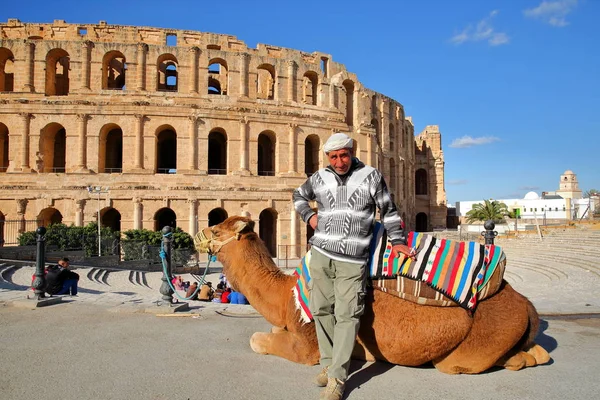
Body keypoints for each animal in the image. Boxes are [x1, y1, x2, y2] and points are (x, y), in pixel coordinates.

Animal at [196, 217, 548, 374]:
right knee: (538, 352)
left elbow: (258, 340)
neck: (285, 297)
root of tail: (526, 305)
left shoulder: (308, 343)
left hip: (467, 349)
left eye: (217, 230)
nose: (200, 234)